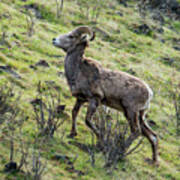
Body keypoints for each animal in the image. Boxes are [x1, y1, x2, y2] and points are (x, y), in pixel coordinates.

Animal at [51, 26, 158, 162]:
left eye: (71, 36)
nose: (54, 40)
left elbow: (88, 121)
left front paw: (100, 141)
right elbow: (74, 113)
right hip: (139, 115)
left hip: (131, 111)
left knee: (136, 131)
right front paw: (72, 134)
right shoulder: (80, 99)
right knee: (151, 135)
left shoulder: (94, 100)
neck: (78, 71)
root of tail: (149, 92)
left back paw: (121, 150)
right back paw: (154, 161)